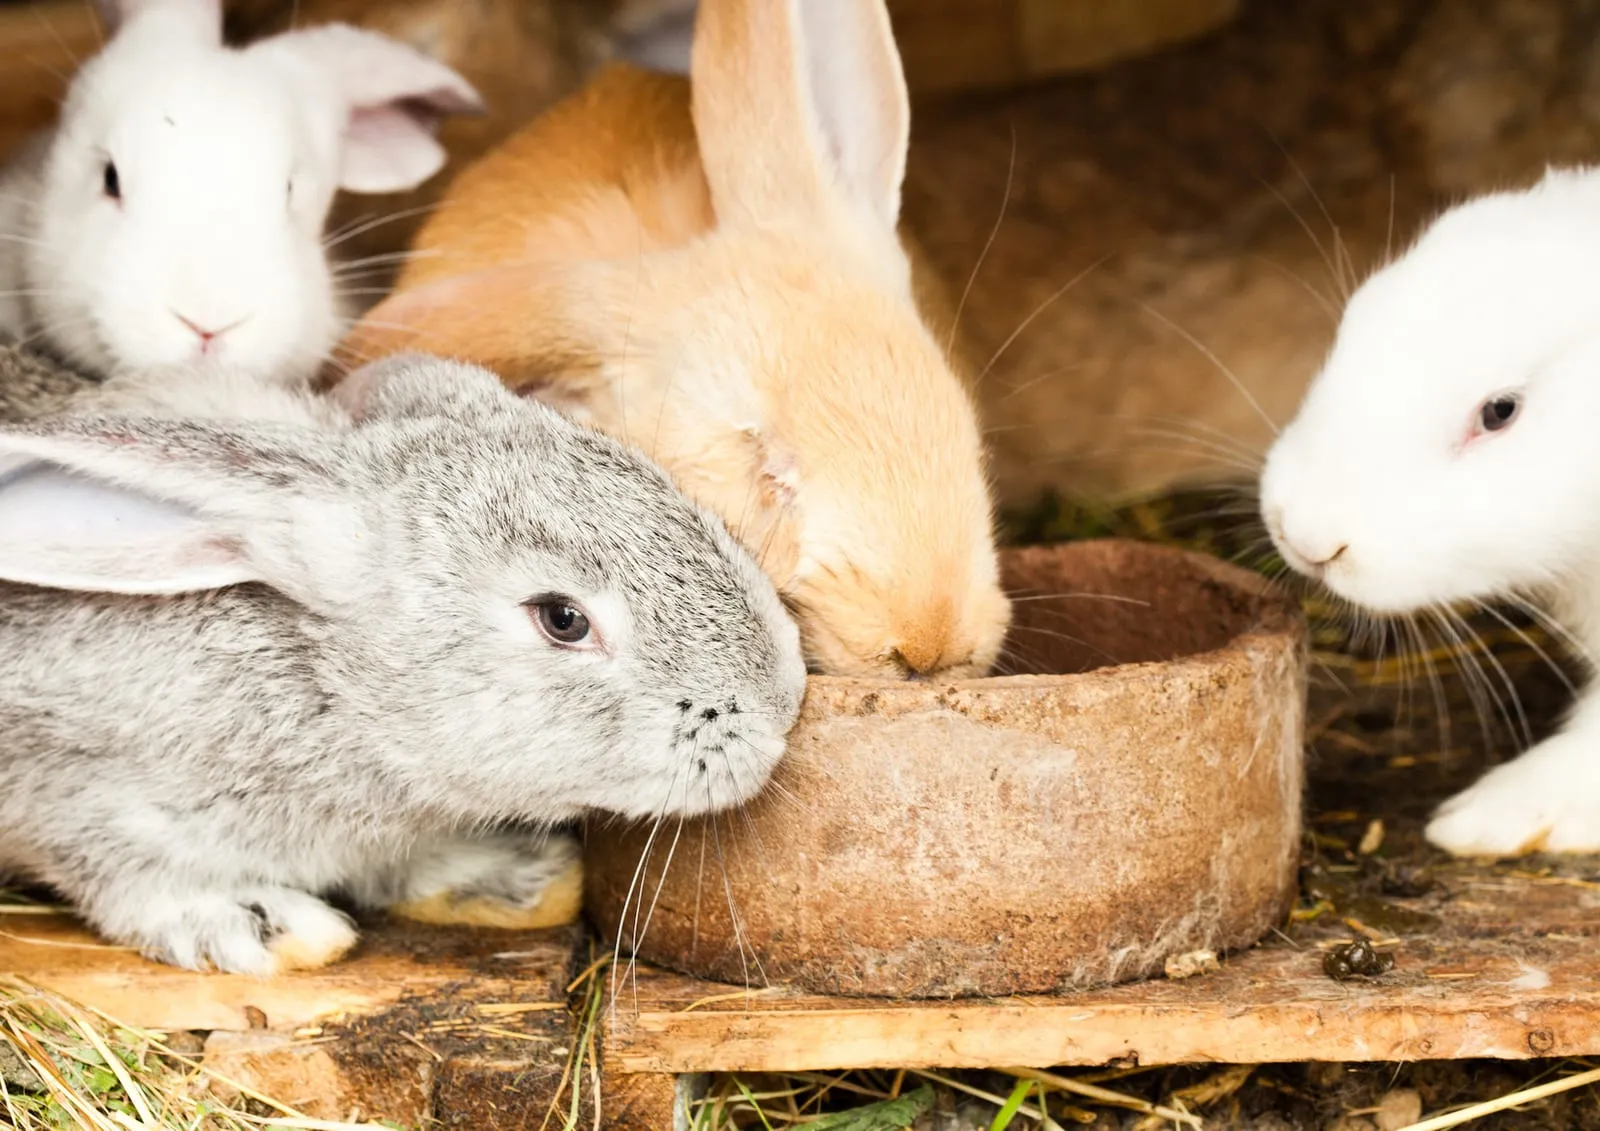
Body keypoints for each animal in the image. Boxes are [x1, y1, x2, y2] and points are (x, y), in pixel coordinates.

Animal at [0, 344, 806, 973]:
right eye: (563, 619)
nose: (782, 704)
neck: (334, 690)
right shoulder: (82, 800)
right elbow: (129, 878)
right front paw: (268, 926)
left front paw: (520, 877)